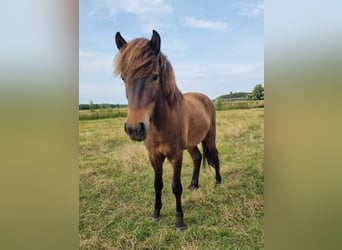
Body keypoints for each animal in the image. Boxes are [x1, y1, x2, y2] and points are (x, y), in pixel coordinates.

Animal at [115, 29, 222, 230]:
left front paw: (179, 221)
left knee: (214, 156)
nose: (134, 128)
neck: (160, 125)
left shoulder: (175, 155)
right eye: (123, 78)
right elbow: (158, 184)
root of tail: (205, 98)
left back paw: (218, 183)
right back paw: (194, 184)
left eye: (155, 76)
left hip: (210, 137)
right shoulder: (154, 156)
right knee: (197, 157)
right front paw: (156, 213)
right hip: (190, 143)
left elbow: (175, 186)